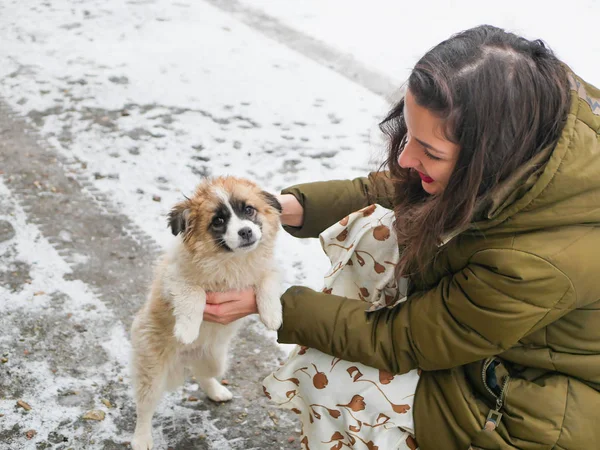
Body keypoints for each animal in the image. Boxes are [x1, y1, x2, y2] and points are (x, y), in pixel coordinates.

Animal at [129, 176, 284, 450]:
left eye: (249, 210)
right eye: (218, 221)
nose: (245, 232)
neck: (231, 260)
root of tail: (186, 357)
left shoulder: (268, 269)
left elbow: (268, 282)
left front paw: (272, 315)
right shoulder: (175, 279)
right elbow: (195, 294)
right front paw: (187, 330)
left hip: (216, 359)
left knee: (203, 374)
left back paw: (216, 391)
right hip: (152, 368)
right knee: (145, 406)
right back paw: (142, 439)